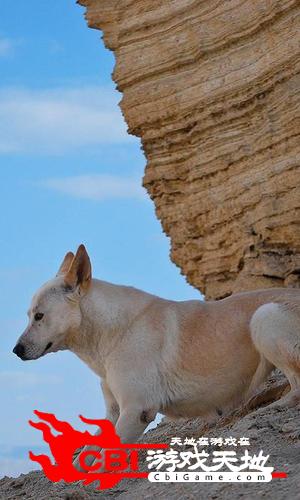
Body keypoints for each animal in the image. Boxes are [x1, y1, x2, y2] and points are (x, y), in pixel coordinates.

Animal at [13, 246, 300, 464]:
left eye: (39, 316)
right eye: (29, 315)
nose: (16, 351)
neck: (112, 332)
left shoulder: (136, 410)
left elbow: (103, 460)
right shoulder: (113, 412)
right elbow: (88, 454)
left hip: (264, 316)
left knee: (296, 388)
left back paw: (271, 406)